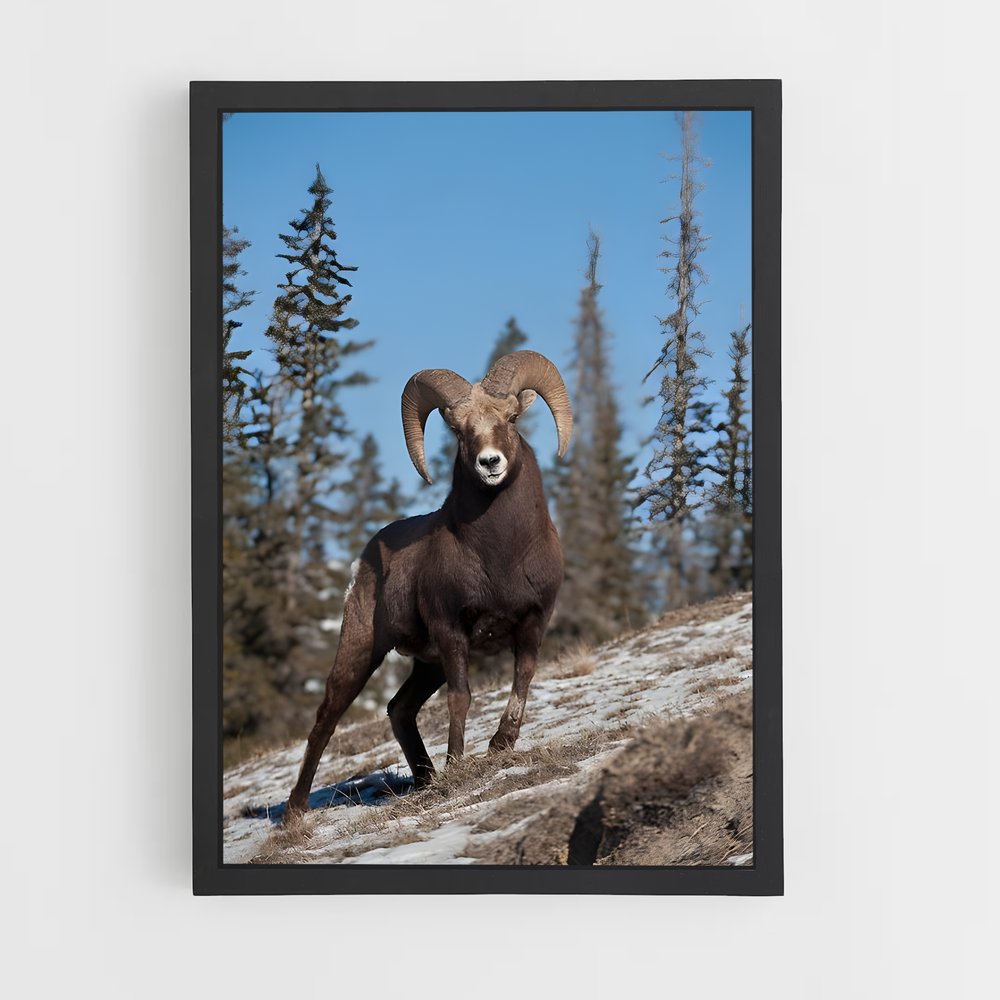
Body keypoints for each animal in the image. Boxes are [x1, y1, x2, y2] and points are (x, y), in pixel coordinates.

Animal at [286, 350, 573, 817]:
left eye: (512, 418)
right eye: (458, 429)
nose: (490, 464)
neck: (503, 556)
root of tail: (363, 562)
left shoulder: (534, 620)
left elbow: (523, 677)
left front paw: (500, 745)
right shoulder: (451, 630)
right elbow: (461, 697)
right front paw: (457, 763)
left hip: (426, 665)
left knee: (399, 708)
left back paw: (426, 778)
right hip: (362, 651)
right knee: (326, 720)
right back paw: (295, 812)